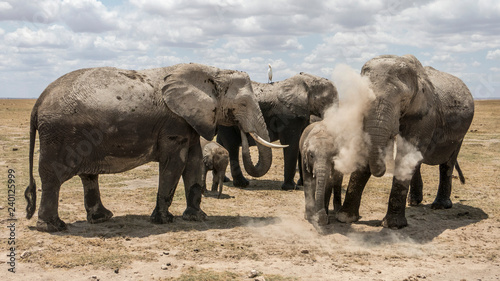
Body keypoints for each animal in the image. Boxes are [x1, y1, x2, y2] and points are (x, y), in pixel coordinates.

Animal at [24, 63, 282, 232]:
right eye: (243, 104)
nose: (244, 132)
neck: (211, 72)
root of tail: (38, 102)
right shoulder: (174, 122)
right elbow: (175, 164)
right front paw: (164, 220)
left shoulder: (188, 120)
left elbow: (193, 163)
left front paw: (197, 218)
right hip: (59, 135)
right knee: (53, 177)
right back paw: (53, 227)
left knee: (88, 176)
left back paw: (101, 218)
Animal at [338, 54, 474, 228]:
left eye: (403, 100)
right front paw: (345, 218)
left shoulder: (425, 116)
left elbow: (405, 156)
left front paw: (393, 225)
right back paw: (414, 202)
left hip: (460, 134)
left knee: (447, 163)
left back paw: (440, 206)